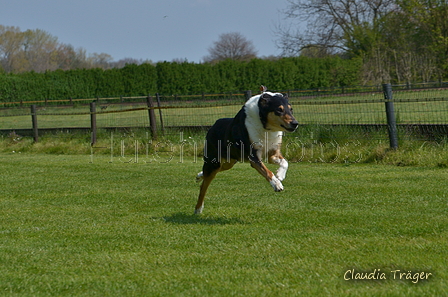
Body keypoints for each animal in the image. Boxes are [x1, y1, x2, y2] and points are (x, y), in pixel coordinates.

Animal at [195, 85, 298, 213]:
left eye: (291, 109)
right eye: (279, 110)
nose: (295, 123)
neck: (266, 128)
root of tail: (213, 126)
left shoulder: (272, 154)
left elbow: (285, 162)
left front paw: (280, 175)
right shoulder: (254, 157)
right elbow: (267, 171)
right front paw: (276, 184)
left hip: (229, 162)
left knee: (212, 172)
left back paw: (199, 175)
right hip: (214, 163)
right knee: (204, 186)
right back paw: (198, 208)